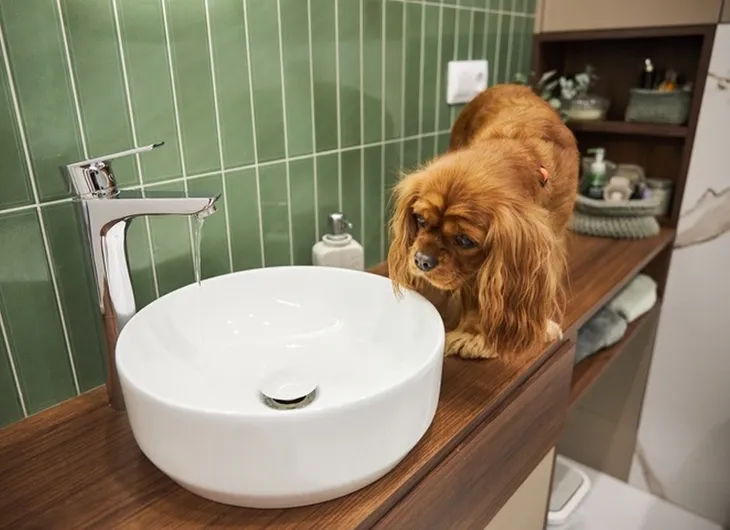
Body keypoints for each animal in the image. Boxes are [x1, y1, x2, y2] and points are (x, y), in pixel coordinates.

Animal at [387, 84, 578, 359]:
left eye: (465, 240)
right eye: (420, 220)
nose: (422, 260)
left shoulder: (550, 241)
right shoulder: (472, 269)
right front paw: (473, 333)